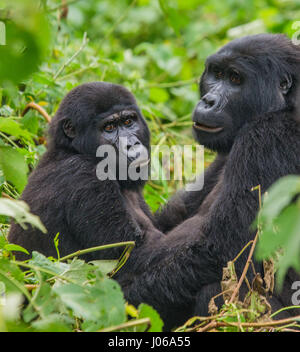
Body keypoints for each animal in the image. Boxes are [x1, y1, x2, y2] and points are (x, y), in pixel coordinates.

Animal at [8, 81, 163, 260]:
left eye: (128, 122)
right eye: (109, 127)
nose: (132, 144)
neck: (73, 150)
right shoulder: (86, 178)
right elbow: (132, 256)